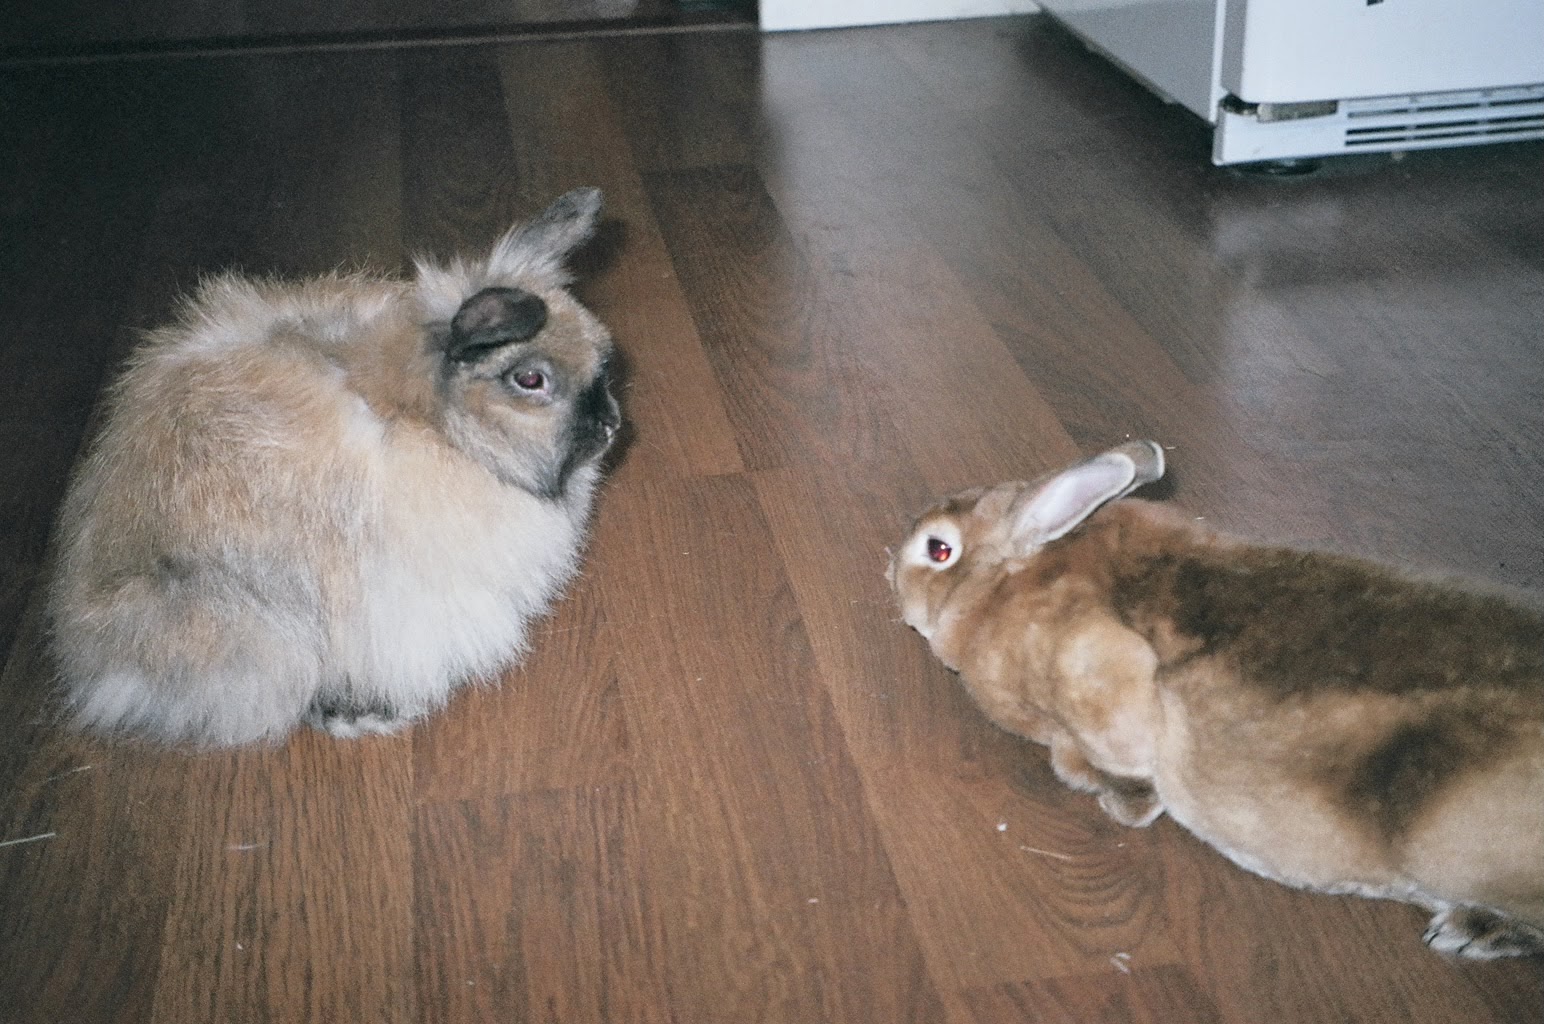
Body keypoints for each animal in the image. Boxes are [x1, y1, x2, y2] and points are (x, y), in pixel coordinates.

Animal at [889, 440, 1544, 959]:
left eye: (939, 550)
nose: (888, 573)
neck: (1010, 580)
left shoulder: (1098, 672)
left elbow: (1116, 761)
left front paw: (1120, 804)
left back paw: (1469, 931)